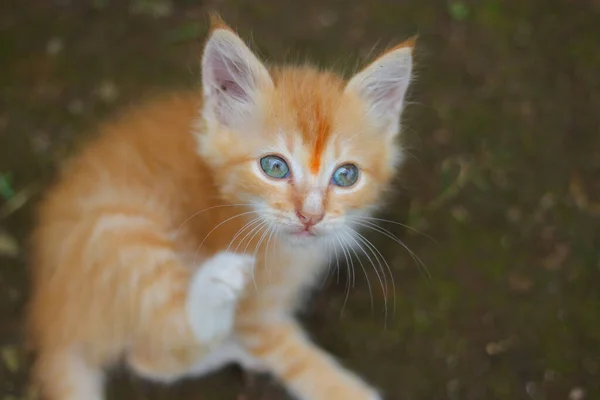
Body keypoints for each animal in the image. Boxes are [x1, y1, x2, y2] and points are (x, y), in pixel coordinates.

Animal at [27, 14, 412, 400]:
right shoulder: (254, 316)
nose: (311, 216)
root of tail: (52, 316)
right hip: (121, 228)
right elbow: (297, 360)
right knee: (155, 352)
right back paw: (215, 286)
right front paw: (346, 389)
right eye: (274, 167)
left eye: (346, 175)